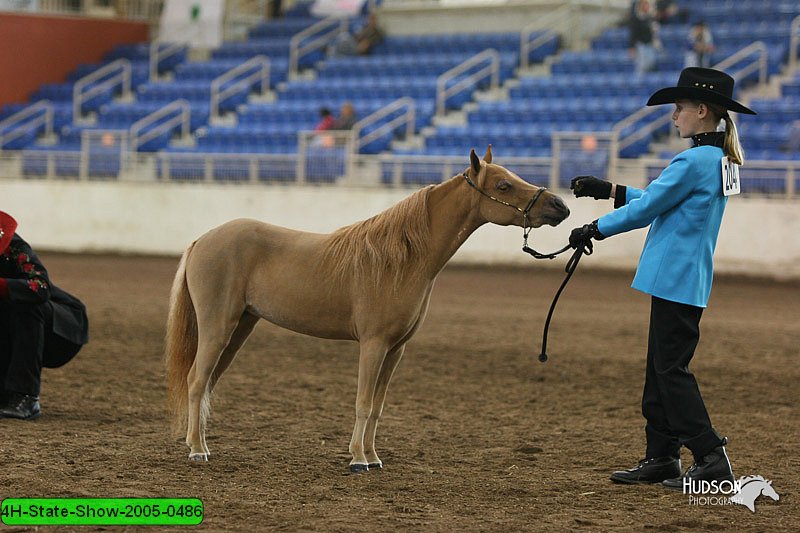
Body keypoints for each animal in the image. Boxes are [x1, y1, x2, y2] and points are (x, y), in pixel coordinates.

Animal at [167, 147, 568, 470]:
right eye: (503, 185)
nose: (559, 206)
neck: (403, 259)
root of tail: (203, 239)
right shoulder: (373, 344)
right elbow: (362, 401)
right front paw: (358, 459)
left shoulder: (395, 349)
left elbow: (377, 406)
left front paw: (373, 457)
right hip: (218, 327)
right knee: (197, 380)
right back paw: (198, 451)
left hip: (240, 328)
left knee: (207, 383)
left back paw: (197, 443)